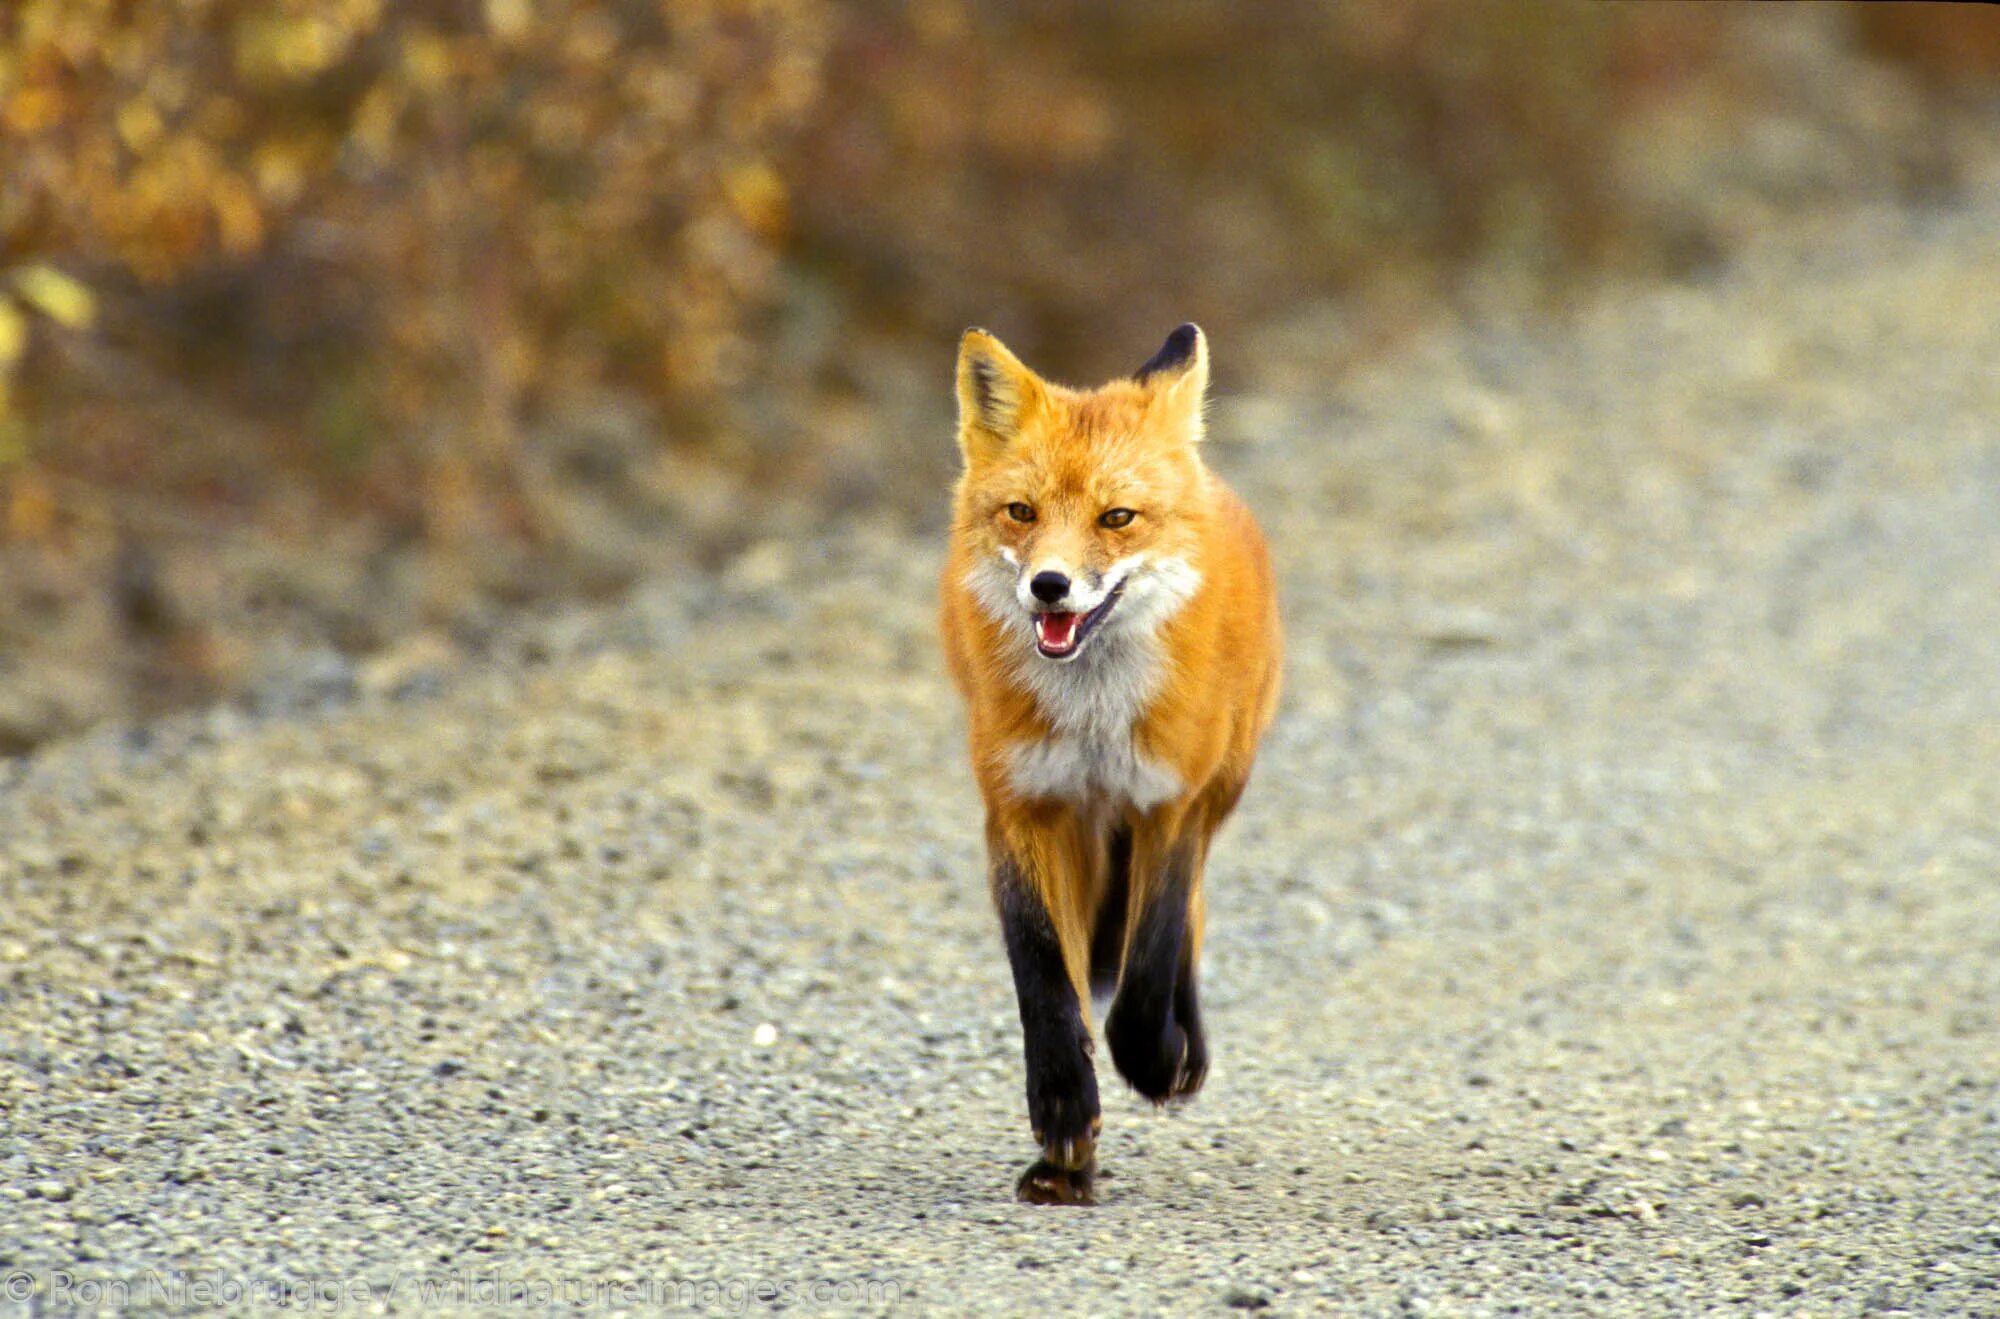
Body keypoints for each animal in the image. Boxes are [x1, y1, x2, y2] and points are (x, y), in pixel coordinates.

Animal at [936, 321, 1280, 1207]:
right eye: (1020, 513)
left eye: (1116, 517)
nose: (1049, 586)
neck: (1093, 722)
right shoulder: (1020, 806)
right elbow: (1043, 973)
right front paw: (1063, 1119)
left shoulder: (1171, 800)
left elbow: (1151, 951)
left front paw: (1152, 1059)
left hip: (1222, 786)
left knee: (1187, 917)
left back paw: (1182, 1045)